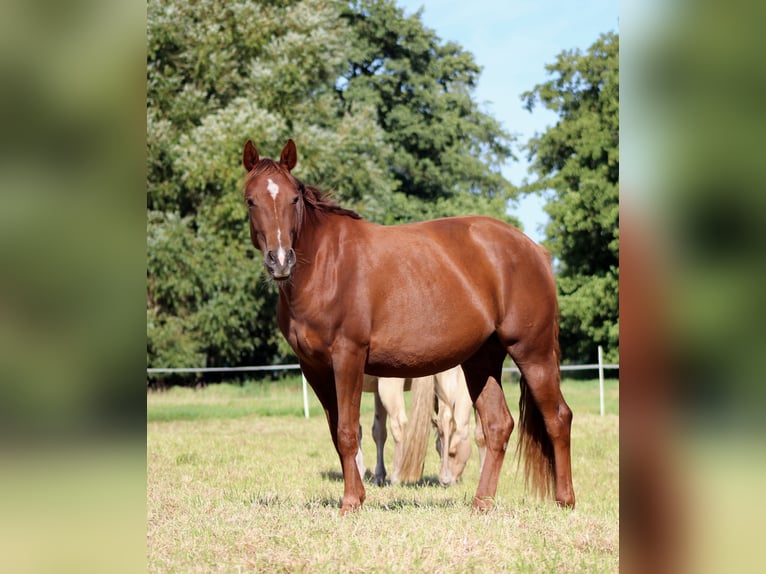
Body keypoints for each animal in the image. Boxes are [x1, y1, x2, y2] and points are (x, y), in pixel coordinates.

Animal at [241, 139, 575, 514]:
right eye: (251, 200)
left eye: (293, 199)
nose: (281, 261)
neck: (326, 266)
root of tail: (534, 250)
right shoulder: (314, 368)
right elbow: (338, 432)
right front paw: (358, 494)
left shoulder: (348, 358)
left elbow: (347, 432)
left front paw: (350, 502)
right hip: (481, 360)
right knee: (497, 425)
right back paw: (481, 503)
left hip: (533, 352)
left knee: (558, 418)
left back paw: (564, 500)